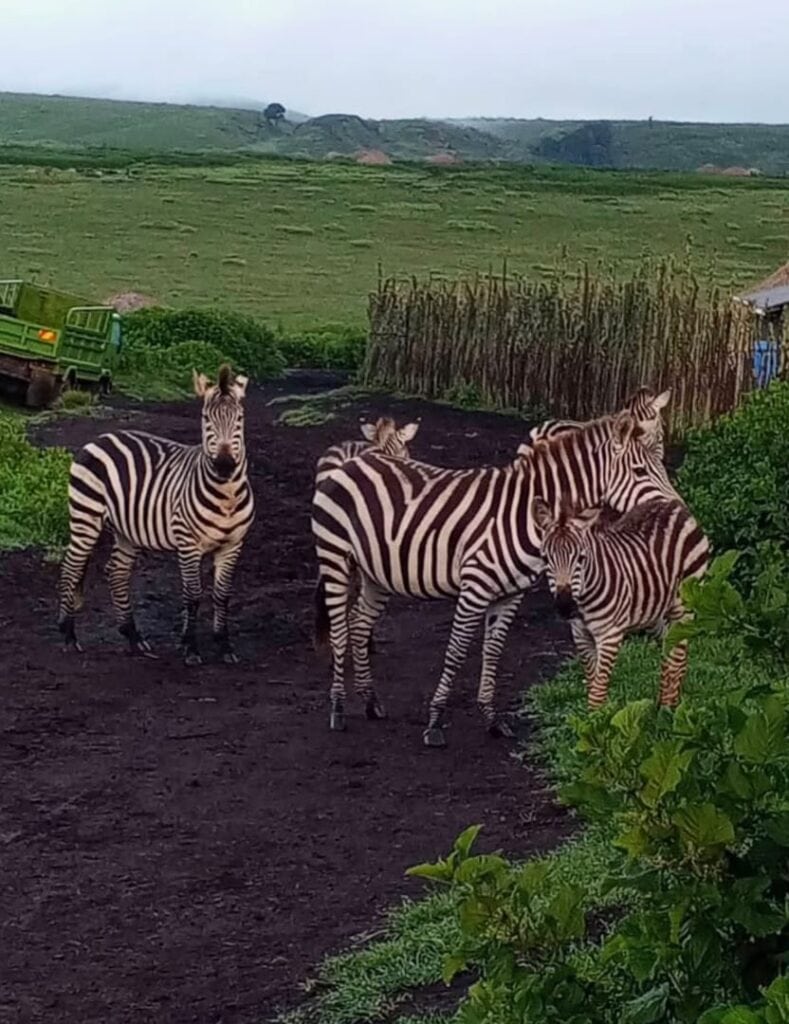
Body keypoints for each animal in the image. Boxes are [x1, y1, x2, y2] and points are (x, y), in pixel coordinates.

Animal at [57, 364, 254, 665]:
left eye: (239, 419)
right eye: (206, 419)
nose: (224, 465)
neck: (227, 497)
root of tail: (102, 438)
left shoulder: (233, 545)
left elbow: (222, 595)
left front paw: (224, 645)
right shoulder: (188, 543)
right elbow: (193, 595)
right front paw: (191, 648)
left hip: (126, 529)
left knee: (117, 573)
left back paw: (133, 637)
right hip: (85, 516)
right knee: (72, 568)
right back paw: (69, 635)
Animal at [312, 407, 681, 746]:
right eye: (640, 470)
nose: (678, 510)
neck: (522, 515)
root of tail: (354, 461)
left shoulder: (509, 594)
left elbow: (493, 650)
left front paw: (492, 719)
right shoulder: (475, 587)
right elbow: (457, 650)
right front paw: (435, 722)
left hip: (376, 573)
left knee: (360, 623)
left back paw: (370, 702)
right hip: (335, 556)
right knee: (341, 630)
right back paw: (338, 709)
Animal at [533, 496, 709, 709]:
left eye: (581, 558)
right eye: (545, 558)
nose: (565, 606)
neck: (583, 601)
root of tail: (672, 503)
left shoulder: (610, 634)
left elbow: (597, 692)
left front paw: (597, 718)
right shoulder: (580, 635)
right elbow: (592, 684)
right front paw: (595, 716)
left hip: (684, 604)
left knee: (678, 655)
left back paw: (669, 709)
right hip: (654, 612)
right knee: (668, 651)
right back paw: (662, 706)